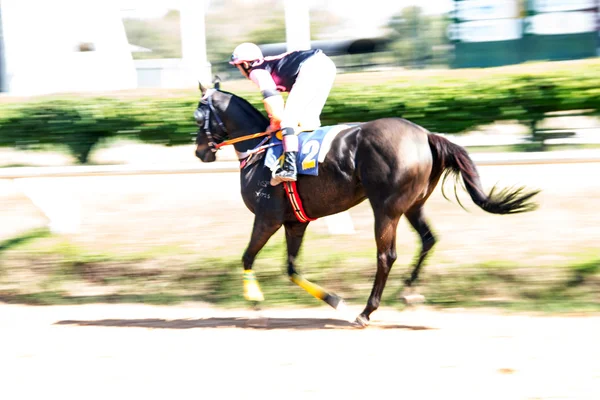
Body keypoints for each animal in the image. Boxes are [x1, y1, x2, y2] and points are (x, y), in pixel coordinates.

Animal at [193, 82, 540, 324]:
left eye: (197, 117)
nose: (200, 152)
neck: (259, 150)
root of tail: (425, 134)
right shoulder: (295, 222)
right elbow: (291, 269)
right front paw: (335, 301)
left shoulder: (268, 218)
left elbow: (247, 258)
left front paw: (255, 306)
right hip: (412, 205)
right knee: (428, 240)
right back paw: (408, 292)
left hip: (384, 208)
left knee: (386, 256)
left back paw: (367, 311)